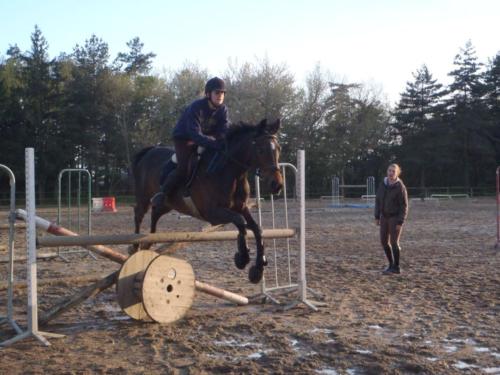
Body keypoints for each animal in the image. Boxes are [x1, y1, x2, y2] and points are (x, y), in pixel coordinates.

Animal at [131, 119, 284, 284]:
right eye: (260, 150)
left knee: (155, 213)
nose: (277, 185)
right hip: (144, 198)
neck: (230, 172)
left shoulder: (242, 207)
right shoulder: (212, 213)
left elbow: (256, 229)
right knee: (139, 214)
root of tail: (149, 151)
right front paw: (242, 257)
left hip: (168, 204)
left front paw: (258, 268)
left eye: (279, 149)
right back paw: (134, 247)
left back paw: (148, 242)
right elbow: (240, 221)